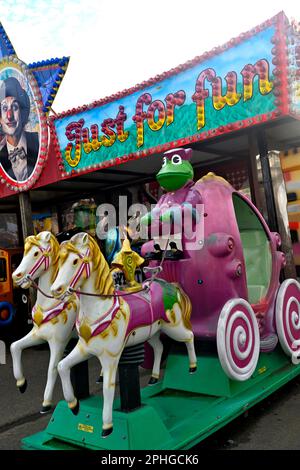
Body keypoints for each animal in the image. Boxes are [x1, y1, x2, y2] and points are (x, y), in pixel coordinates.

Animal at [10, 233, 78, 414]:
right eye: (24, 252)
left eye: (35, 253)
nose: (15, 276)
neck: (50, 305)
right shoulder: (38, 336)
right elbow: (14, 346)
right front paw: (21, 384)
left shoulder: (58, 342)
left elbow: (51, 369)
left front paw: (46, 403)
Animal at [52, 232, 197, 436]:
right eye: (59, 260)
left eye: (74, 261)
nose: (55, 290)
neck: (99, 309)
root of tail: (170, 285)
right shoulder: (84, 348)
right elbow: (62, 366)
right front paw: (74, 406)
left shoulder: (110, 357)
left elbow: (108, 389)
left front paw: (107, 426)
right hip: (153, 332)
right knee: (159, 347)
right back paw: (153, 377)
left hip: (173, 326)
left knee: (189, 336)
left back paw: (193, 367)